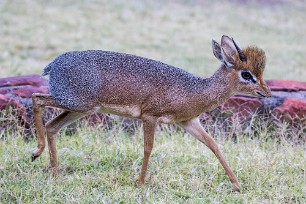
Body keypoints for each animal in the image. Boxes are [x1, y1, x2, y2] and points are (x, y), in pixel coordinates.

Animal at [31, 35, 270, 191]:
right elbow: (148, 148)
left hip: (79, 109)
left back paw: (54, 172)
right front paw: (140, 183)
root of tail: (54, 63)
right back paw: (36, 152)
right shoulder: (150, 117)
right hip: (75, 103)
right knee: (37, 98)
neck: (195, 89)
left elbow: (214, 145)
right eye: (246, 74)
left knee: (52, 126)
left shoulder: (188, 122)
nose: (266, 92)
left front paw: (237, 185)